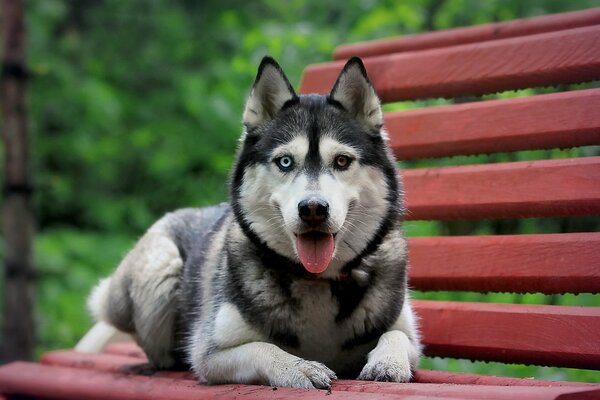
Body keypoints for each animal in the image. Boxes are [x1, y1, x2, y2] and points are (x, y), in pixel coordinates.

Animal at [88, 56, 422, 388]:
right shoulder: (210, 354)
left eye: (342, 161)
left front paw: (388, 361)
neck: (317, 280)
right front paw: (298, 367)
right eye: (285, 161)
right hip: (160, 267)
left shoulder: (408, 334)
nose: (313, 208)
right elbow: (263, 347)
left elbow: (395, 335)